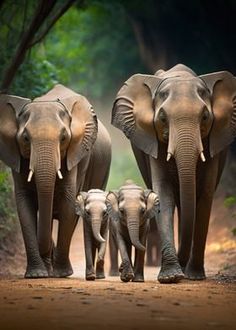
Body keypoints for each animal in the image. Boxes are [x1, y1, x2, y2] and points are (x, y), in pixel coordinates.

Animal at [0, 84, 111, 278]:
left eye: (64, 138)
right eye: (25, 139)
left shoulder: (76, 155)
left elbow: (68, 201)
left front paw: (61, 274)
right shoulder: (16, 155)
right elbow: (24, 204)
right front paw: (37, 275)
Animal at [111, 64, 236, 284]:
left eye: (205, 117)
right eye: (162, 118)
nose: (183, 269)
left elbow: (205, 195)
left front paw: (194, 277)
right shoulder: (154, 141)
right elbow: (164, 192)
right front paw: (171, 277)